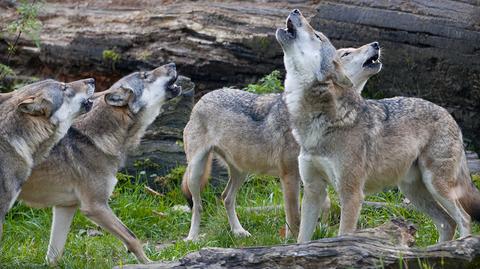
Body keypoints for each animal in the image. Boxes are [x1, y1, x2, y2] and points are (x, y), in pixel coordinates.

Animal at [17, 62, 181, 264]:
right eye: (145, 76)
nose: (173, 64)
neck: (95, 139)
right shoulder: (96, 207)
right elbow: (133, 238)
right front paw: (150, 264)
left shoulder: (65, 207)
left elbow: (53, 256)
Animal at [183, 40, 382, 240]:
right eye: (346, 53)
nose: (376, 44)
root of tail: (204, 96)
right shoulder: (289, 175)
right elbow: (293, 214)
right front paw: (291, 240)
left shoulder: (312, 174)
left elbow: (324, 205)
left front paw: (321, 230)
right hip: (196, 172)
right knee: (198, 205)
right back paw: (192, 238)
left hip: (241, 172)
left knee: (226, 197)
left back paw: (238, 231)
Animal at [276, 9, 478, 242]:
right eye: (345, 52)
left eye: (317, 35)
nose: (296, 10)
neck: (318, 120)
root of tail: (448, 114)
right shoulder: (313, 191)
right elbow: (301, 240)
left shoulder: (352, 194)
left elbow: (344, 235)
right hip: (413, 191)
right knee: (447, 223)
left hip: (436, 185)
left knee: (464, 218)